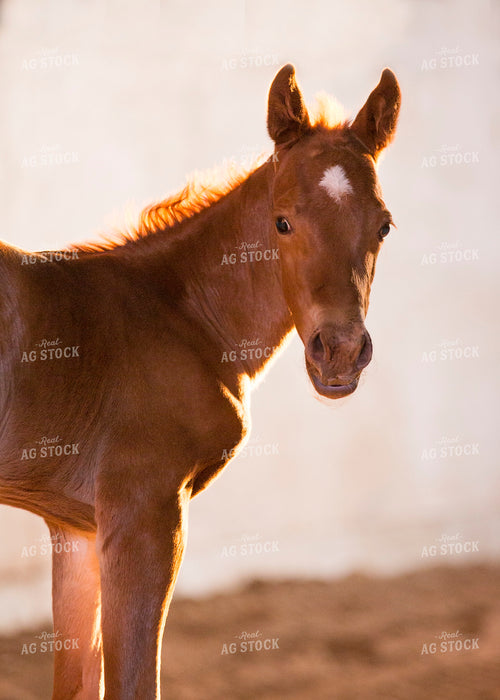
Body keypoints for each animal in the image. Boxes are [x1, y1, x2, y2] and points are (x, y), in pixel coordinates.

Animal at [0, 64, 400, 698]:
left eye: (384, 226)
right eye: (282, 221)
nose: (339, 353)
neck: (184, 317)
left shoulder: (75, 528)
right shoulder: (144, 514)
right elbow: (135, 681)